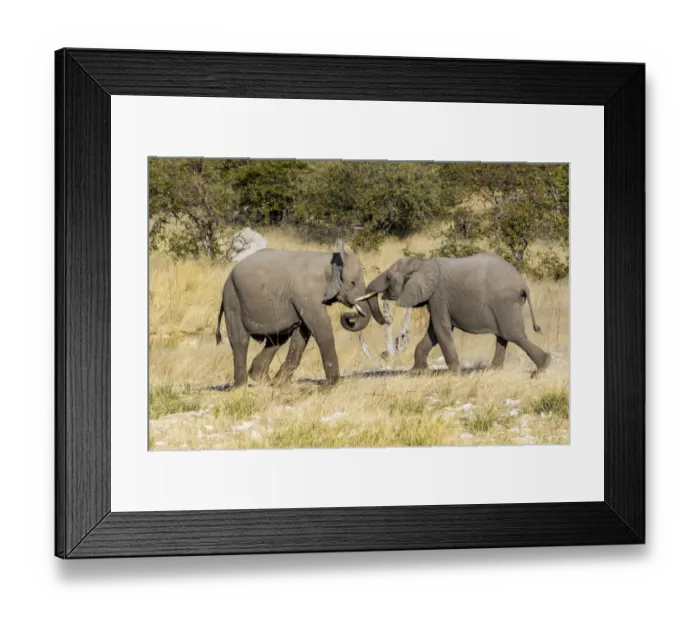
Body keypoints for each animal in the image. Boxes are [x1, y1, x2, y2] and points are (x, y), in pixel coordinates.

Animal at [215, 239, 386, 387]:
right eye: (353, 283)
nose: (350, 315)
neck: (330, 260)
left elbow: (301, 335)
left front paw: (281, 384)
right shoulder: (306, 293)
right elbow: (321, 329)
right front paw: (333, 384)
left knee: (276, 339)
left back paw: (264, 381)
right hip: (232, 297)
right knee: (240, 340)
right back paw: (241, 386)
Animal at [359, 253, 551, 374]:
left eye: (388, 278)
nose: (384, 320)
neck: (423, 263)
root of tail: (522, 284)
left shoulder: (439, 295)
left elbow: (441, 329)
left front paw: (454, 372)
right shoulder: (435, 299)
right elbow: (433, 332)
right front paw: (417, 371)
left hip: (504, 302)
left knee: (513, 334)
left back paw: (542, 367)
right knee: (503, 335)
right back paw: (494, 369)